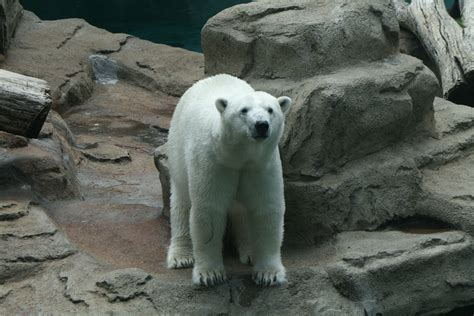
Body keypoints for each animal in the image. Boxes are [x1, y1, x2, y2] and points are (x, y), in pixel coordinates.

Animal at [167, 73, 292, 286]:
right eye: (244, 110)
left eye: (270, 109)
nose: (261, 125)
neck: (238, 156)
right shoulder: (213, 162)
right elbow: (209, 211)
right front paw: (210, 275)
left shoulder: (261, 165)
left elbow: (266, 209)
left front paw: (269, 274)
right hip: (177, 148)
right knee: (181, 200)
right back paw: (181, 255)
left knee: (243, 210)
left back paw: (250, 252)